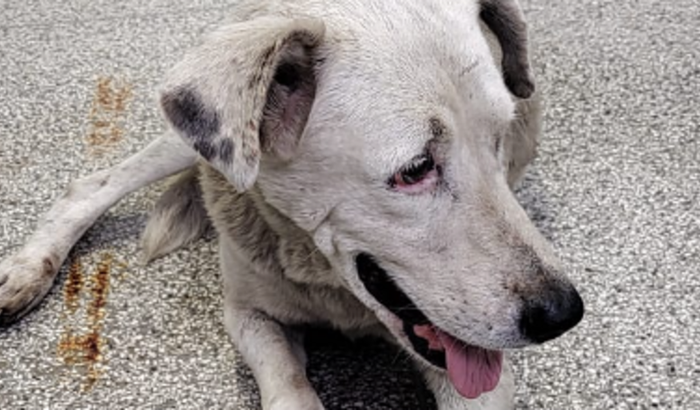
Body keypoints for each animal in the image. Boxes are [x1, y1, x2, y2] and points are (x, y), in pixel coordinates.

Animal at [0, 0, 584, 408]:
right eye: (416, 168)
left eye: (500, 139)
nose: (563, 314)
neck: (325, 282)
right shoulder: (248, 314)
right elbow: (288, 385)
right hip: (191, 135)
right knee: (93, 185)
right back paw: (27, 272)